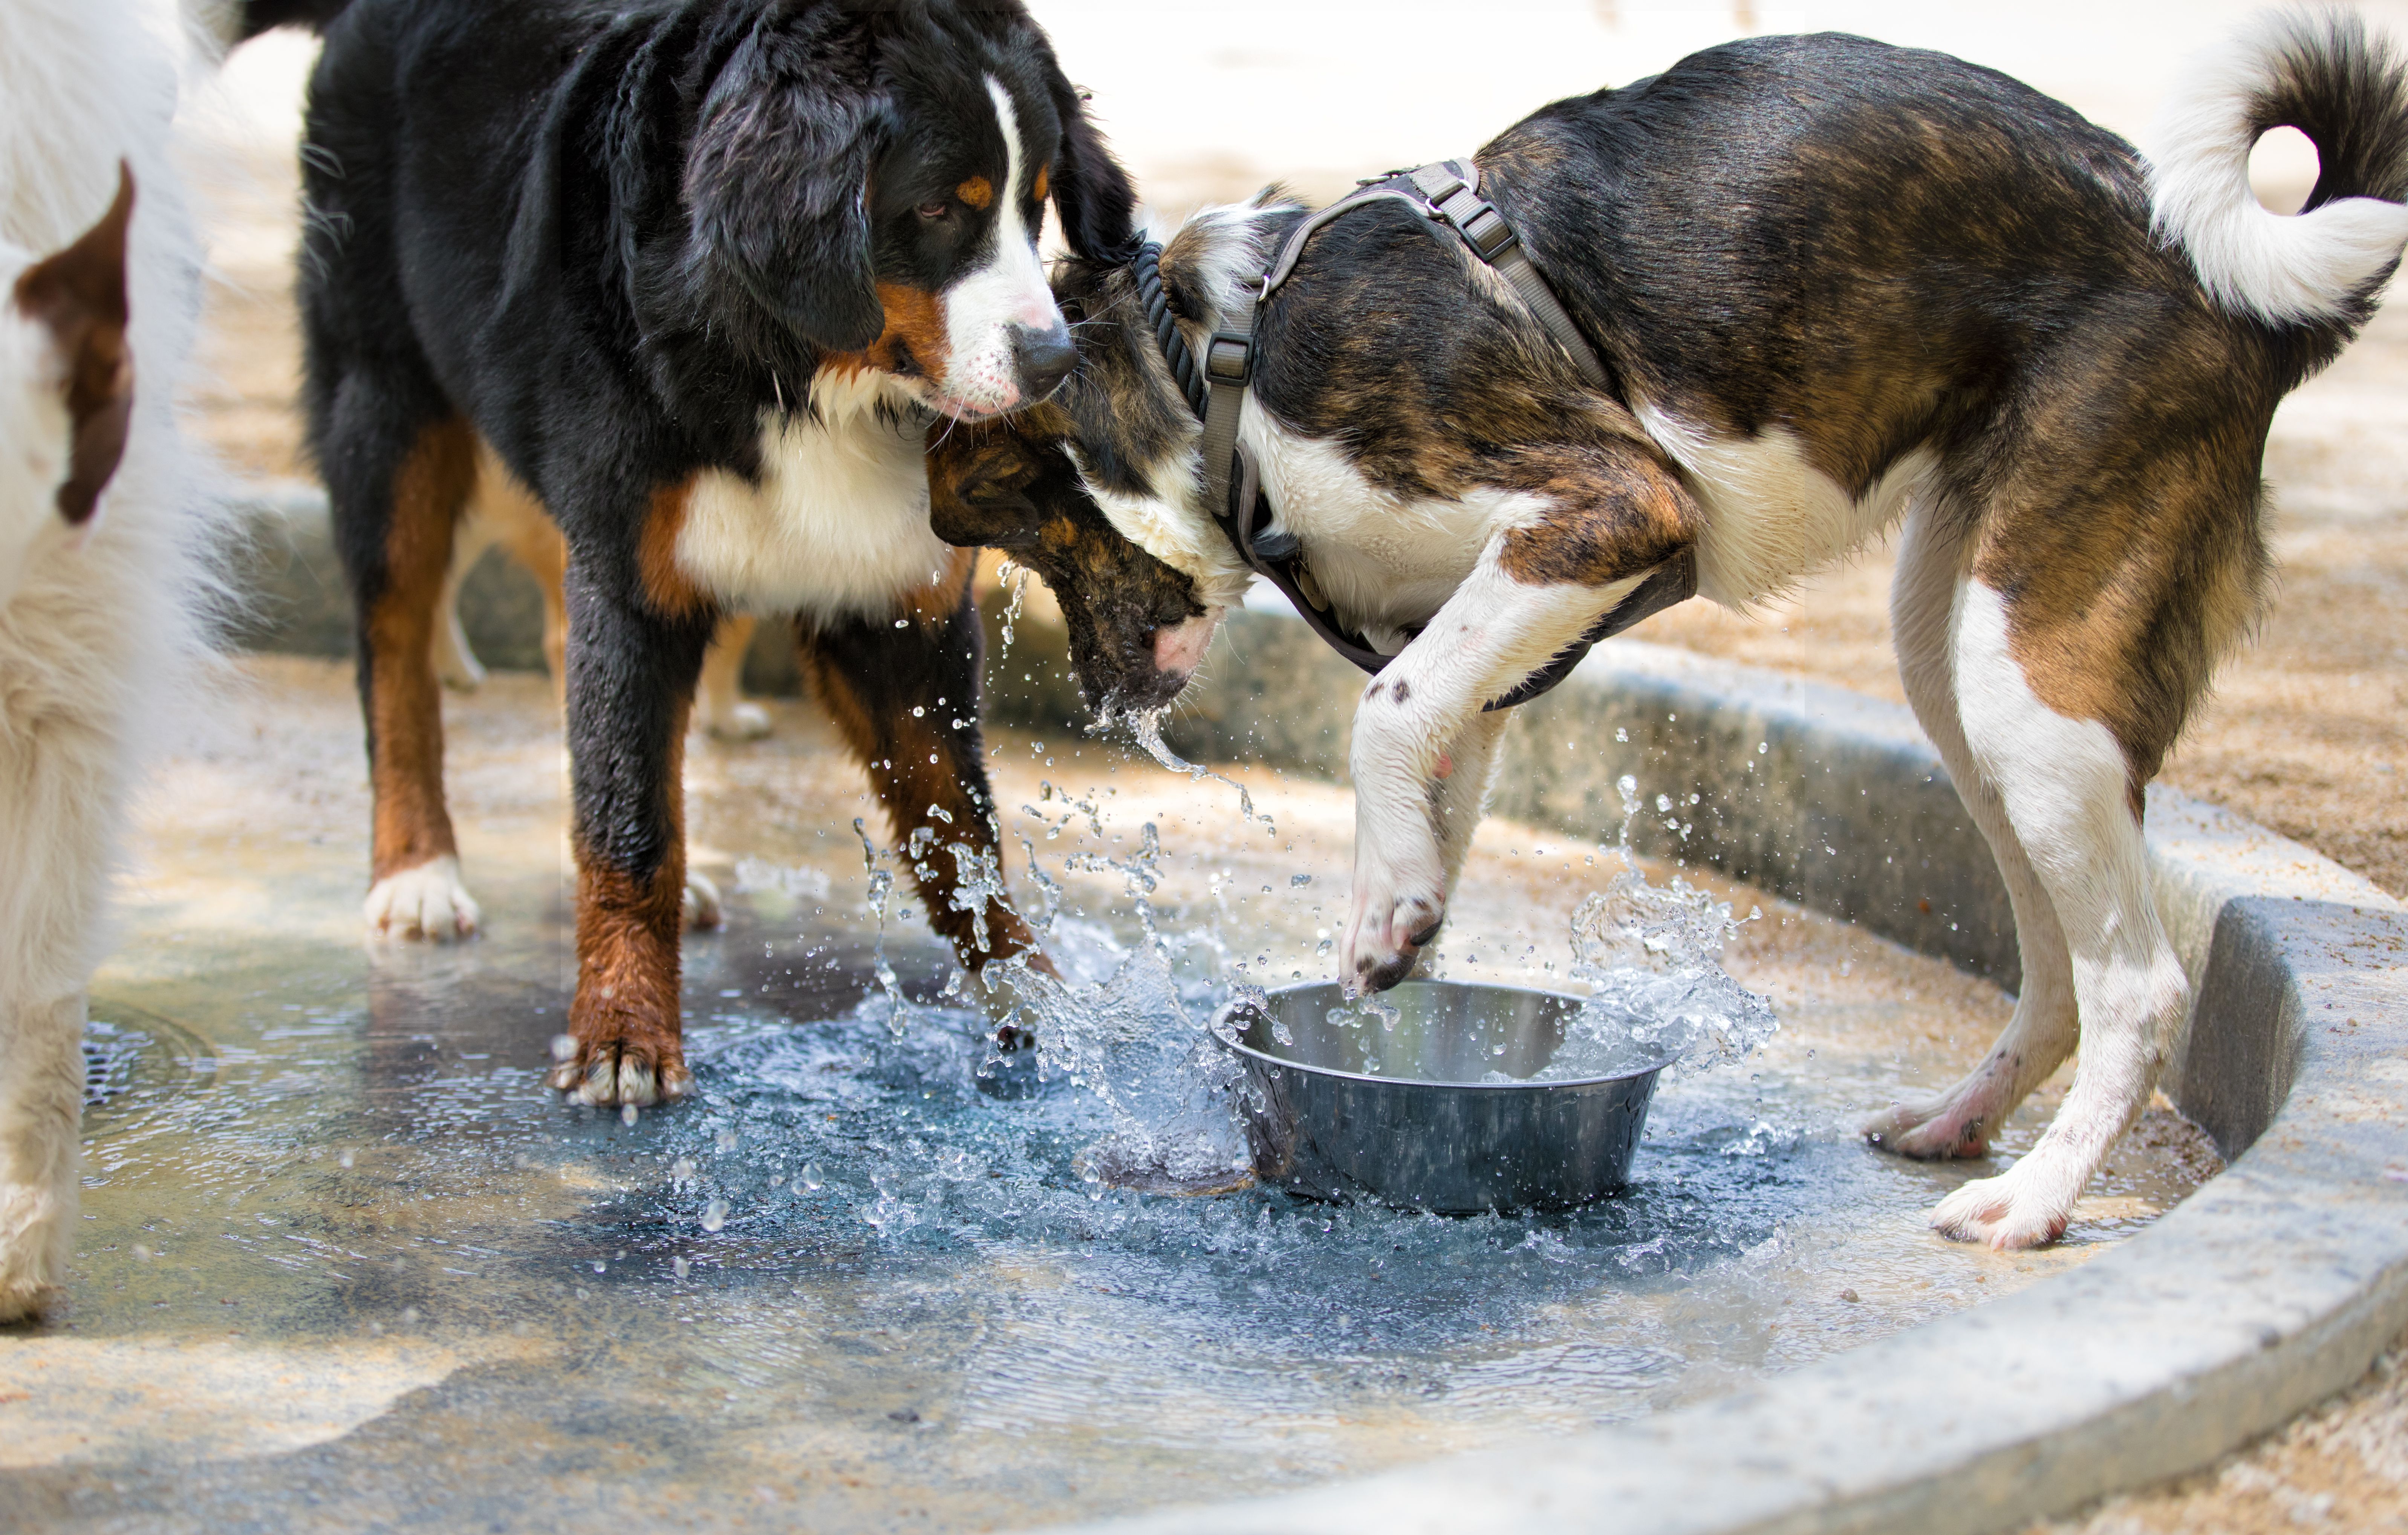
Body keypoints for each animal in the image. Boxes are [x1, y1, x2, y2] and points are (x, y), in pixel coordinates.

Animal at [249, 0, 1141, 1107]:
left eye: (1038, 201)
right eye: (939, 209)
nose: (1055, 359)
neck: (794, 368)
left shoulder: (893, 607)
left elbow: (960, 839)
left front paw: (1034, 1005)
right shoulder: (634, 581)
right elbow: (630, 826)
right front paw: (622, 1030)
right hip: (388, 416)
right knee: (396, 654)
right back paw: (417, 873)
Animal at [929, 18, 2408, 1251]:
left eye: (996, 512)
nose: (1097, 698)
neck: (1222, 354)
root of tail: (2235, 287)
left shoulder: (1611, 506)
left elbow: (1384, 714)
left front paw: (1382, 928)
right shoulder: (1478, 647)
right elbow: (1419, 808)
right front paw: (1397, 942)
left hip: (2028, 672)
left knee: (2142, 987)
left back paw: (2033, 1200)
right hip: (1958, 669)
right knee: (2058, 970)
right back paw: (1961, 1122)